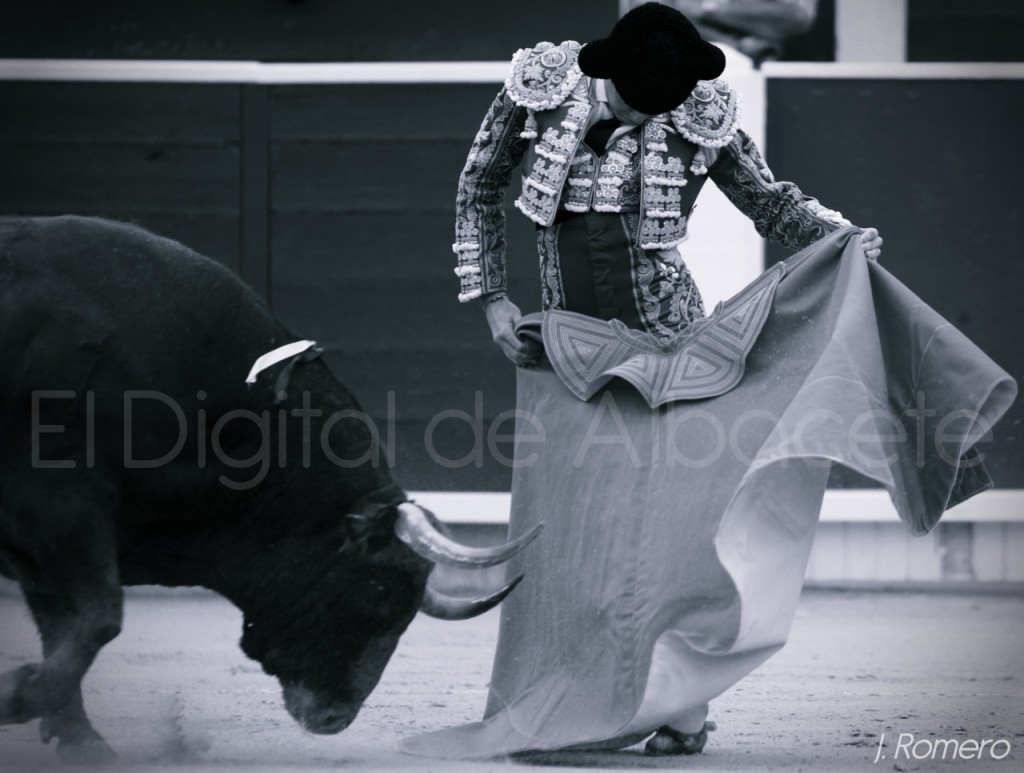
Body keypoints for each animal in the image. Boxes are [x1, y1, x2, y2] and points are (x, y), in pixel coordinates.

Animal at [0, 216, 544, 761]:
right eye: (379, 590)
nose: (334, 718)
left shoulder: (53, 542)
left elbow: (69, 626)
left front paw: (80, 741)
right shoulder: (61, 507)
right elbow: (98, 620)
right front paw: (20, 698)